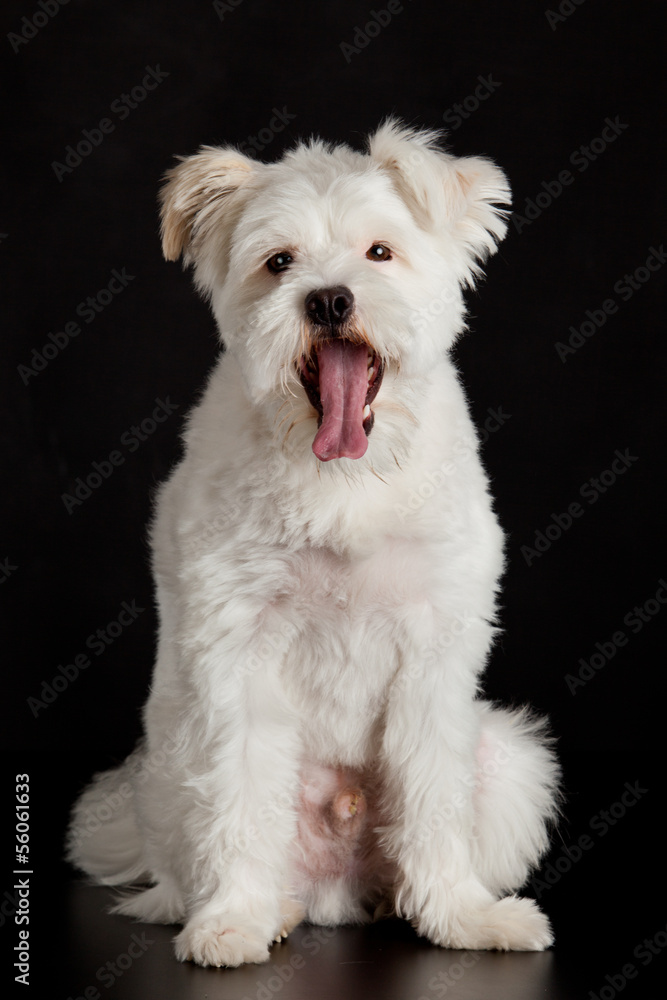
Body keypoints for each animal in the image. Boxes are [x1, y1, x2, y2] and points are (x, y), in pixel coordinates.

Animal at [68, 121, 560, 964]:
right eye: (278, 262)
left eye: (378, 252)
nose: (329, 298)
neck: (344, 479)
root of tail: (335, 891)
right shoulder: (235, 649)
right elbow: (237, 795)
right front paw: (232, 918)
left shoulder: (433, 649)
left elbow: (433, 799)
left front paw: (459, 916)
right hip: (169, 766)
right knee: (201, 859)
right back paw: (262, 908)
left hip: (505, 760)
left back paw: (404, 902)